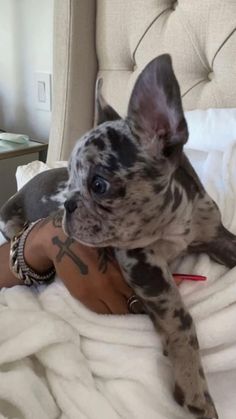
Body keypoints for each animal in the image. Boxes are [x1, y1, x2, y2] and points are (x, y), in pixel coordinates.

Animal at [3, 54, 236, 418]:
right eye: (70, 181)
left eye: (98, 184)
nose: (67, 205)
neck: (172, 222)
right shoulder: (144, 266)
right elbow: (179, 317)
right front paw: (194, 384)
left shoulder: (215, 233)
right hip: (10, 222)